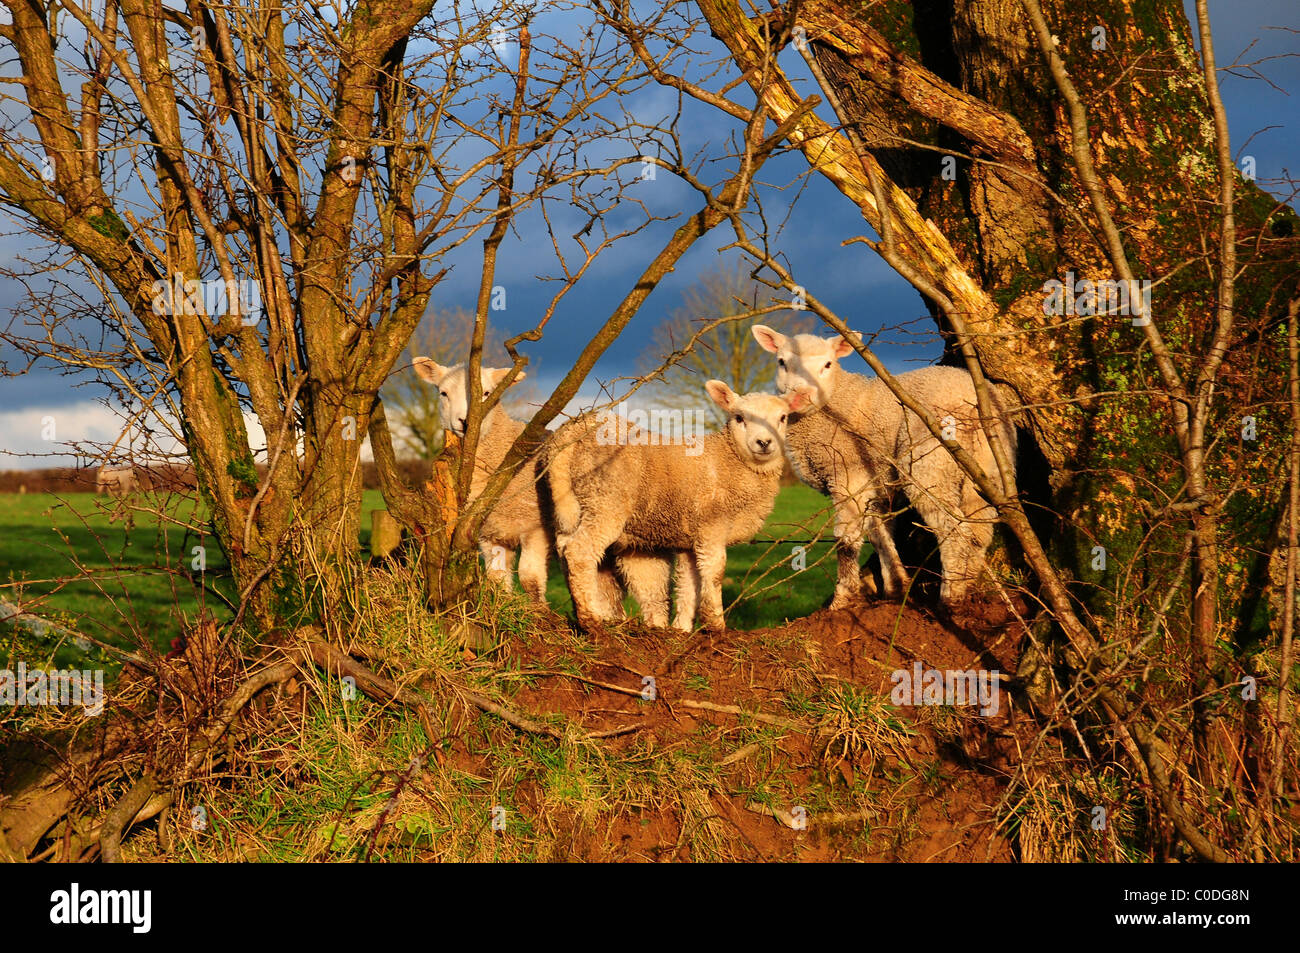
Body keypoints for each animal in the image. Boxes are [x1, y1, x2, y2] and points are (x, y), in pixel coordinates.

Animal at [540, 379, 790, 631]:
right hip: (605, 499)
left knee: (565, 549)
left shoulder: (691, 537)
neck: (729, 459)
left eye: (783, 418)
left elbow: (689, 582)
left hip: (573, 503)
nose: (764, 443)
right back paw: (590, 620)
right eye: (739, 418)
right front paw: (716, 625)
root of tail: (570, 433)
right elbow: (715, 572)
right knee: (579, 551)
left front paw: (681, 629)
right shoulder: (712, 525)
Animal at [754, 323, 1013, 605]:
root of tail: (972, 400)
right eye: (781, 362)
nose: (800, 396)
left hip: (929, 462)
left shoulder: (848, 476)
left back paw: (951, 597)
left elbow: (846, 540)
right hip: (989, 463)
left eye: (827, 364)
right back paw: (969, 585)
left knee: (953, 527)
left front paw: (843, 599)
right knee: (980, 528)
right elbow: (880, 535)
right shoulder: (874, 483)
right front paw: (896, 588)